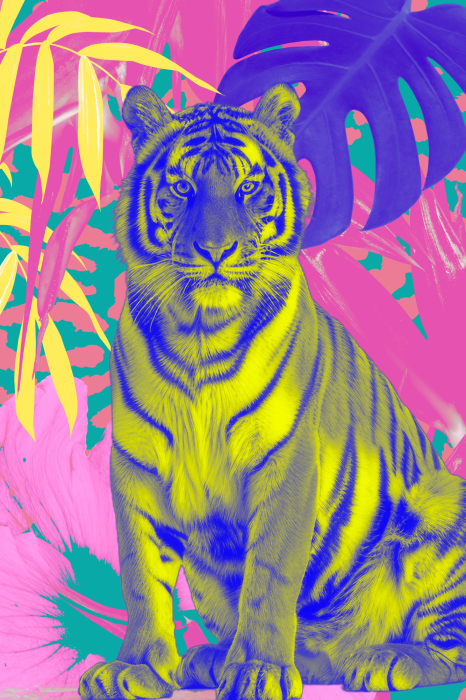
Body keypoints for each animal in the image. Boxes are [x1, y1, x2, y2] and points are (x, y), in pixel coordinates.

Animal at [79, 83, 466, 699]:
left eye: (249, 187)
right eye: (183, 188)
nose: (216, 250)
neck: (200, 335)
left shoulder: (286, 463)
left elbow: (270, 574)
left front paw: (258, 670)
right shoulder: (136, 465)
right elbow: (140, 575)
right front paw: (136, 669)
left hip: (441, 499)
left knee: (450, 645)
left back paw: (387, 659)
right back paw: (210, 660)